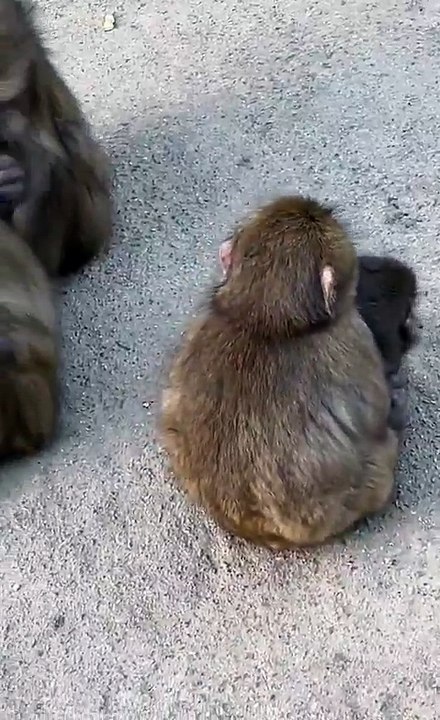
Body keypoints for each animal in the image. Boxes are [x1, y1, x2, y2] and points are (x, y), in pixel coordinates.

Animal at [159, 196, 401, 550]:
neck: (265, 319)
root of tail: (259, 531)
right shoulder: (355, 339)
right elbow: (374, 411)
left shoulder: (199, 327)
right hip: (358, 492)